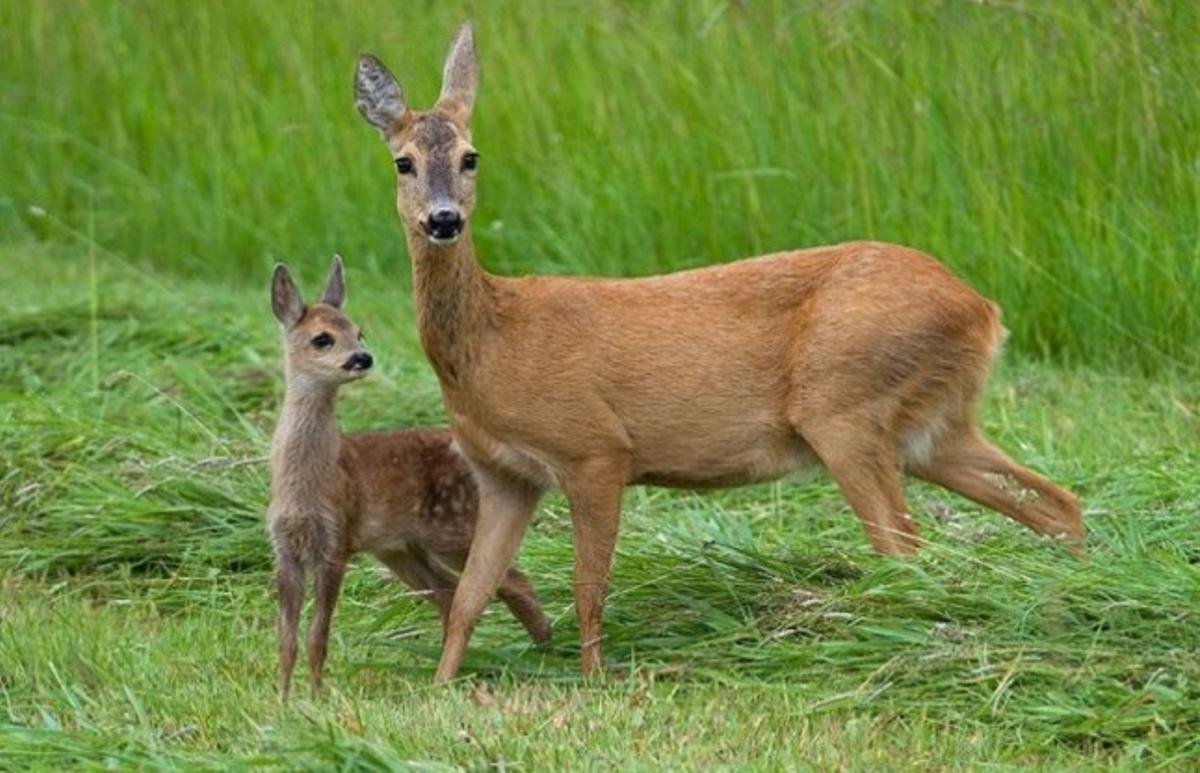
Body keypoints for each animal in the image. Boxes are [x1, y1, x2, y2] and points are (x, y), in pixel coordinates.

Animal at [350, 22, 1084, 681]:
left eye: (471, 157)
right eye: (403, 161)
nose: (444, 219)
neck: (491, 342)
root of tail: (982, 309)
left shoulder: (594, 447)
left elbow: (588, 586)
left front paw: (594, 684)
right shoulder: (504, 473)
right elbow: (469, 596)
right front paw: (442, 688)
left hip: (845, 406)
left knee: (905, 544)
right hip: (931, 427)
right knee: (1056, 504)